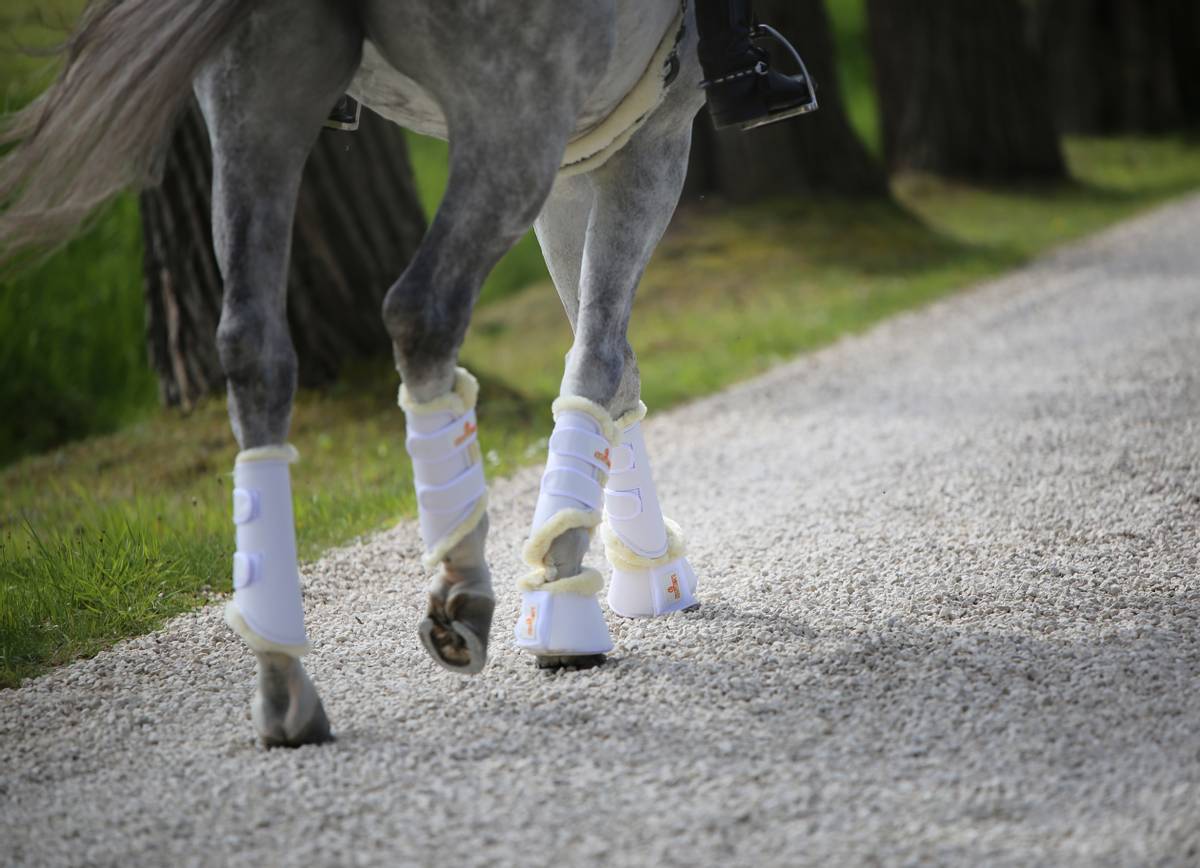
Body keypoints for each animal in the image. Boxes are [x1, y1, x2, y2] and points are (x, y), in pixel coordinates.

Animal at [0, 0, 705, 749]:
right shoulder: (651, 131)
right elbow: (600, 352)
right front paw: (581, 593)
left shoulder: (592, 146)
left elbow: (604, 351)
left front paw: (637, 566)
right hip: (514, 110)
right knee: (423, 311)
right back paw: (461, 592)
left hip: (260, 92)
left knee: (253, 348)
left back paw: (283, 682)